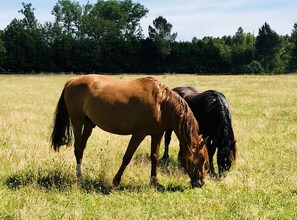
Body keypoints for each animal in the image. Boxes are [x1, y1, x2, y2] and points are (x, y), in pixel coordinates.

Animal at [51, 75, 208, 189]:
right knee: (77, 149)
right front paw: (116, 181)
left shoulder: (157, 134)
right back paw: (79, 177)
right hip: (77, 122)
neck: (161, 103)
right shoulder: (139, 134)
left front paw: (155, 182)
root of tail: (72, 81)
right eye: (201, 159)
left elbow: (154, 157)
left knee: (82, 148)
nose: (201, 183)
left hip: (89, 124)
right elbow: (127, 157)